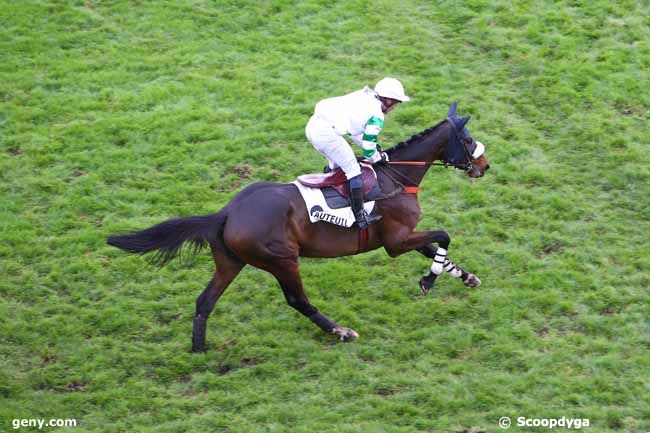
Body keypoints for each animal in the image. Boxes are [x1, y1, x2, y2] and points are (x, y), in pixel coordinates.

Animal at [107, 103, 492, 352]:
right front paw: (429, 280)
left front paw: (466, 277)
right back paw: (340, 331)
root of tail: (226, 212)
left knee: (205, 301)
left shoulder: (403, 236)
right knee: (297, 299)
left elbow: (437, 248)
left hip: (231, 261)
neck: (396, 177)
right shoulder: (395, 241)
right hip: (282, 259)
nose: (485, 166)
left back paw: (199, 349)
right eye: (468, 140)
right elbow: (442, 237)